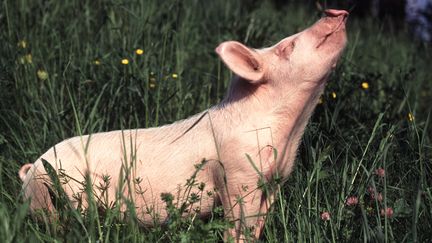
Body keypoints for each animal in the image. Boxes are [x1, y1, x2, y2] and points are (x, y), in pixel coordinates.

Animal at [18, 9, 348, 241]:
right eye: (287, 47)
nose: (336, 11)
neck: (289, 132)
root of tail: (30, 169)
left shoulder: (275, 180)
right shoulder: (237, 174)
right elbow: (238, 224)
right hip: (54, 199)